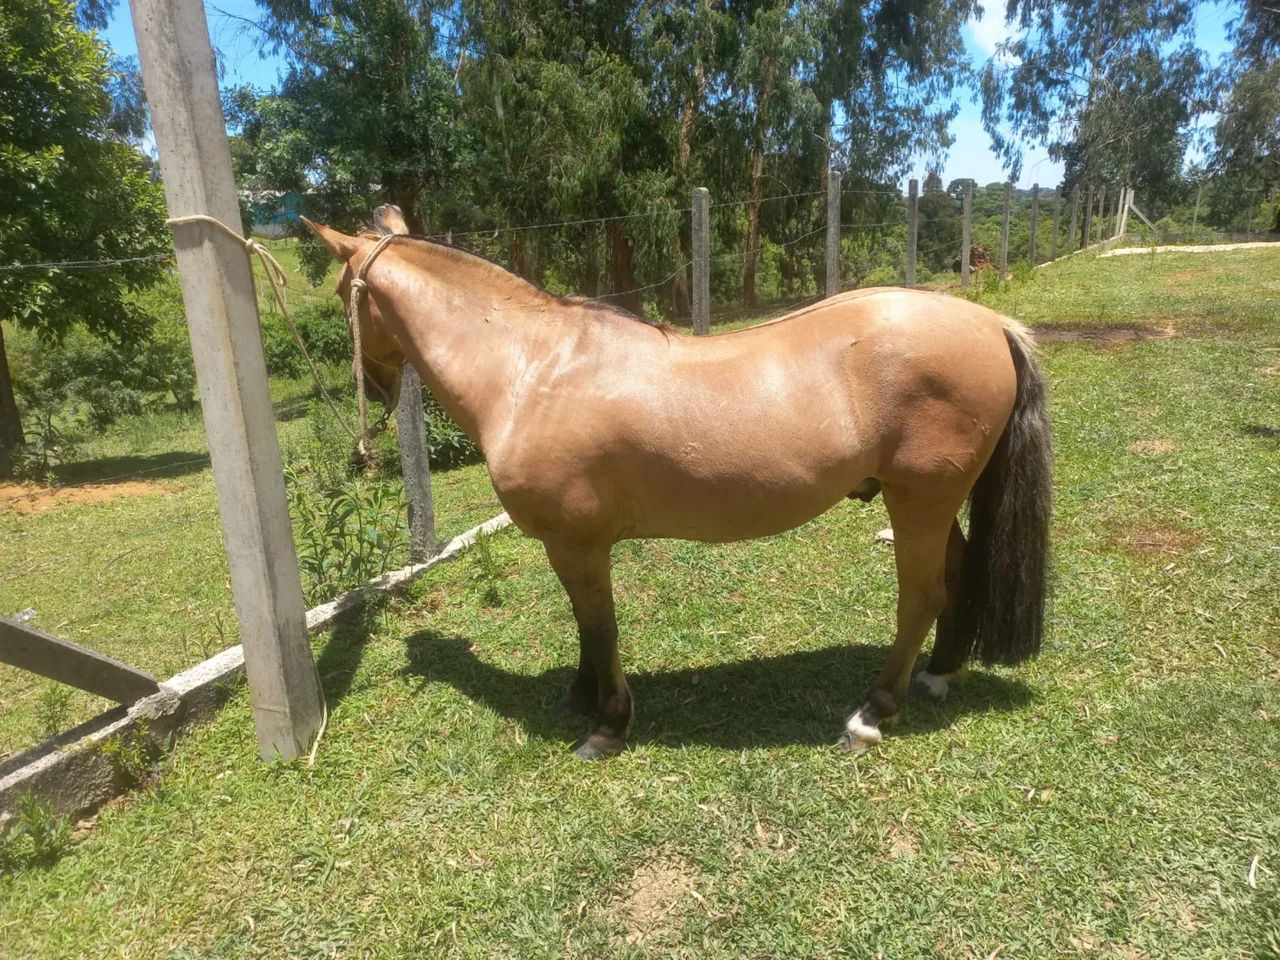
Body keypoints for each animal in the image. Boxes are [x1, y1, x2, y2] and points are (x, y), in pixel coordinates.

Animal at [302, 206, 1052, 760]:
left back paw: (872, 714)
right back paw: (941, 673)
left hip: (918, 503)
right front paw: (579, 696)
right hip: (929, 503)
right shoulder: (572, 545)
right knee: (957, 575)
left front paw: (606, 724)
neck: (529, 369)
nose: (375, 389)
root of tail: (991, 324)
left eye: (341, 294)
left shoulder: (577, 542)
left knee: (919, 597)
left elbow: (599, 624)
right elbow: (585, 624)